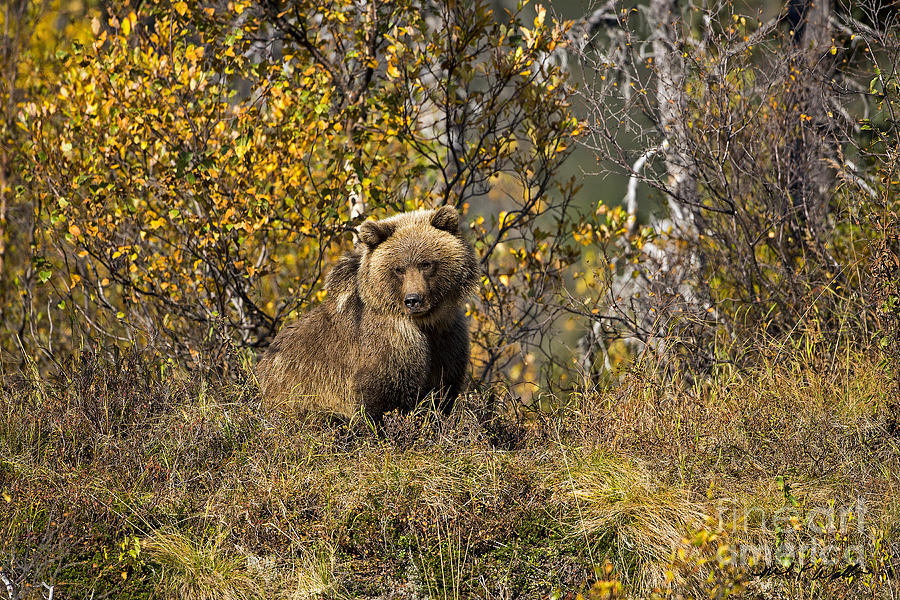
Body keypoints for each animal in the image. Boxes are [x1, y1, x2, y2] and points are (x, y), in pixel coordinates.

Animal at [255, 206, 478, 422]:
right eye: (399, 268)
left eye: (426, 263)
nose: (413, 300)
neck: (426, 323)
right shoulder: (391, 343)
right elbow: (379, 397)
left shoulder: (448, 338)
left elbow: (442, 392)